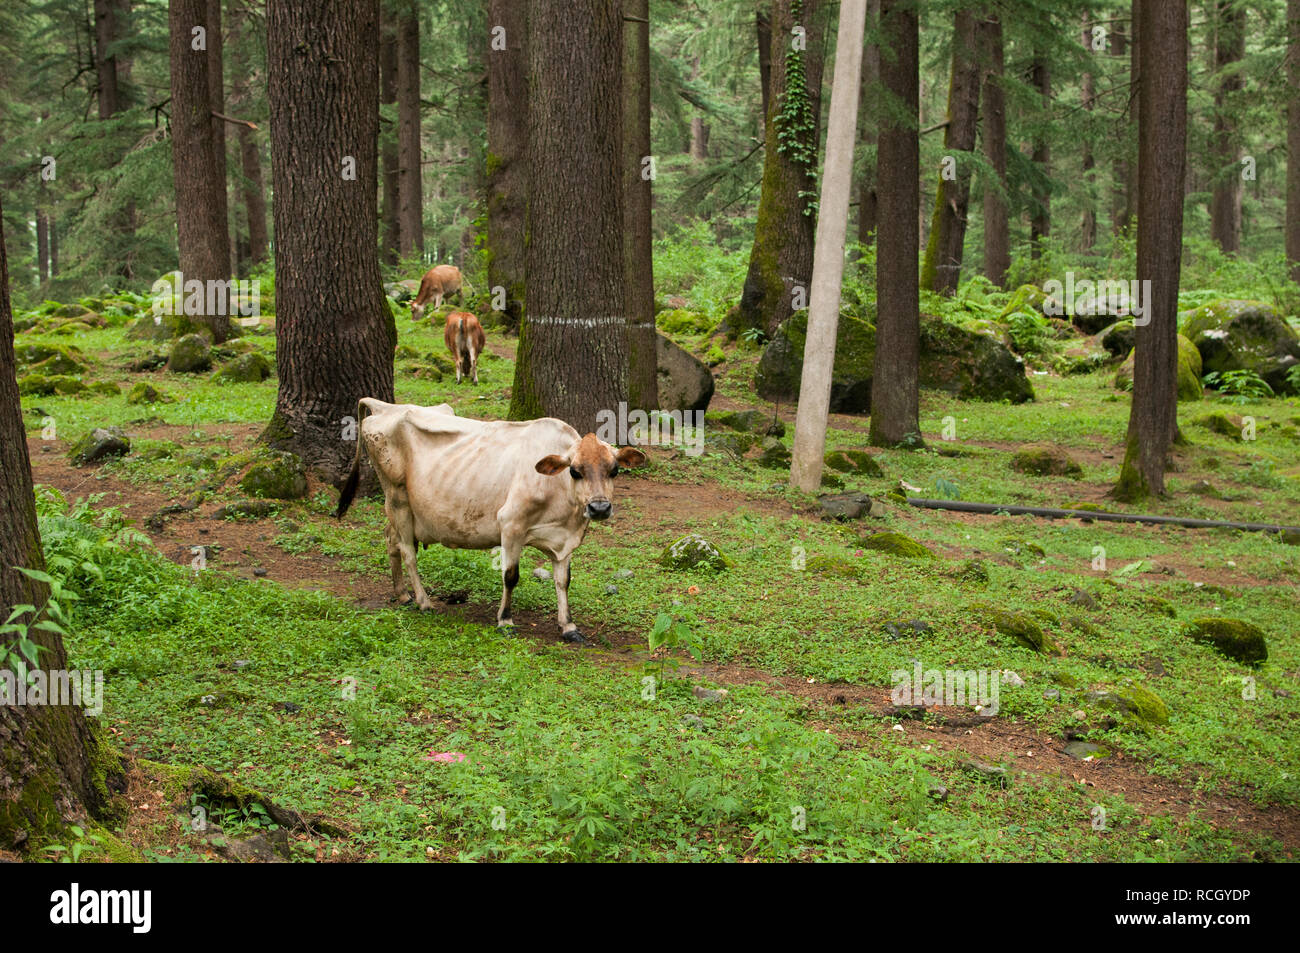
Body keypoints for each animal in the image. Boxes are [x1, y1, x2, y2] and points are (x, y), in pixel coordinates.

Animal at [335, 399, 646, 644]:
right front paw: (505, 621)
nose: (599, 507)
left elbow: (563, 580)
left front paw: (568, 626)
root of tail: (384, 406)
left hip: (402, 510)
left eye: (614, 470)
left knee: (392, 540)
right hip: (396, 495)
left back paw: (402, 594)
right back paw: (424, 602)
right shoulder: (510, 525)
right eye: (575, 471)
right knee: (408, 552)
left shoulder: (564, 540)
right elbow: (511, 576)